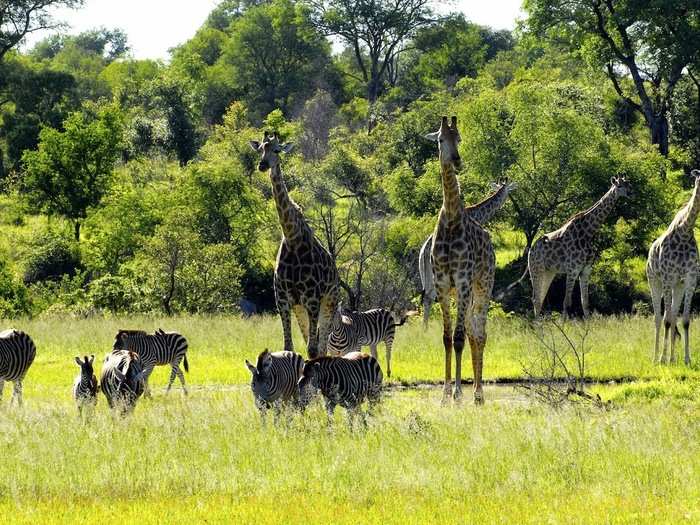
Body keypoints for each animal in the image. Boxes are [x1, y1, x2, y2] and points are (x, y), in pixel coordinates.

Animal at [249, 133, 340, 358]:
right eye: (261, 149)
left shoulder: (313, 299)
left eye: (277, 150)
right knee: (311, 340)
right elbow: (288, 346)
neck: (292, 238)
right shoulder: (283, 299)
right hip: (300, 308)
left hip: (329, 301)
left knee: (322, 346)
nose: (262, 165)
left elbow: (313, 350)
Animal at [418, 176, 516, 326]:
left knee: (426, 298)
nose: (509, 200)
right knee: (431, 297)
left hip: (426, 276)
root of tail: (423, 253)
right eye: (508, 191)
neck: (477, 214)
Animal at [528, 176, 632, 318]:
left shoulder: (586, 270)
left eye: (628, 184)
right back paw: (538, 324)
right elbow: (566, 302)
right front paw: (564, 323)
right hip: (536, 269)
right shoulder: (573, 269)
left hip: (549, 272)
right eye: (619, 186)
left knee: (540, 298)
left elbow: (585, 302)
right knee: (536, 299)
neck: (588, 232)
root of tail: (530, 251)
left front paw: (588, 323)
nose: (631, 193)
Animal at [644, 169, 700, 364]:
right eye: (699, 178)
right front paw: (662, 359)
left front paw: (686, 359)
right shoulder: (668, 277)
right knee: (659, 318)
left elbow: (684, 320)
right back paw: (656, 358)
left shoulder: (690, 279)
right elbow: (667, 320)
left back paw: (673, 358)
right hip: (655, 281)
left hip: (677, 285)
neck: (685, 231)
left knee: (673, 315)